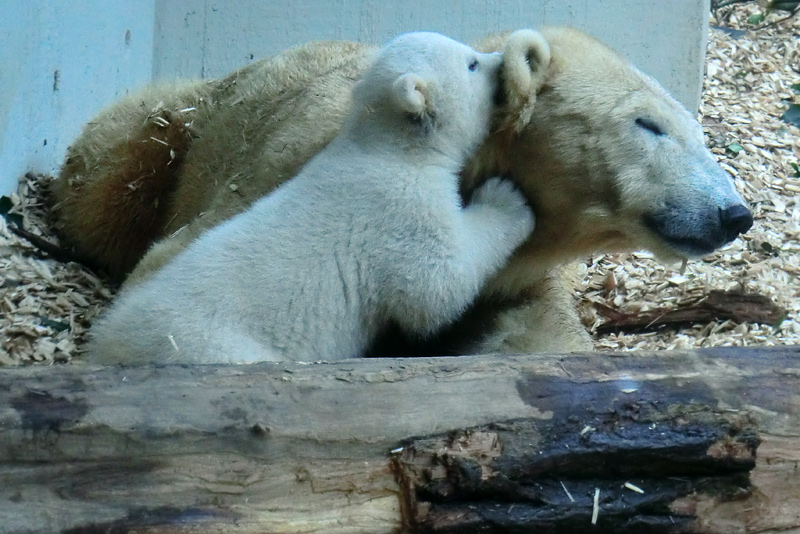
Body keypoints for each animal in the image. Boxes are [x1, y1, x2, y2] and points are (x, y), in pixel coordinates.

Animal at [53, 27, 752, 358]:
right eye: (647, 124)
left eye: (697, 131)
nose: (734, 212)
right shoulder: (279, 182)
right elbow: (172, 267)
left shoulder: (518, 278)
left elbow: (535, 330)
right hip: (172, 128)